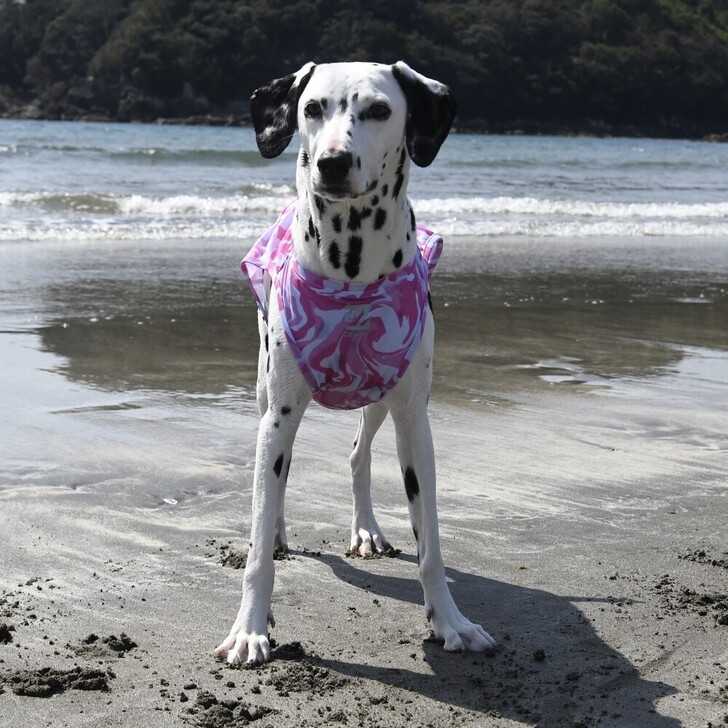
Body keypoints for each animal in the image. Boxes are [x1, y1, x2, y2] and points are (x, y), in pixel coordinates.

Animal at [215, 61, 496, 665]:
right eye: (312, 108)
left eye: (380, 110)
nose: (332, 163)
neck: (351, 274)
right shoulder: (279, 414)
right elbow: (257, 548)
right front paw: (249, 627)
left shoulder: (415, 419)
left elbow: (430, 543)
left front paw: (450, 621)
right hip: (266, 397)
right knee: (279, 476)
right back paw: (279, 531)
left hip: (381, 402)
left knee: (358, 455)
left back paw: (367, 528)